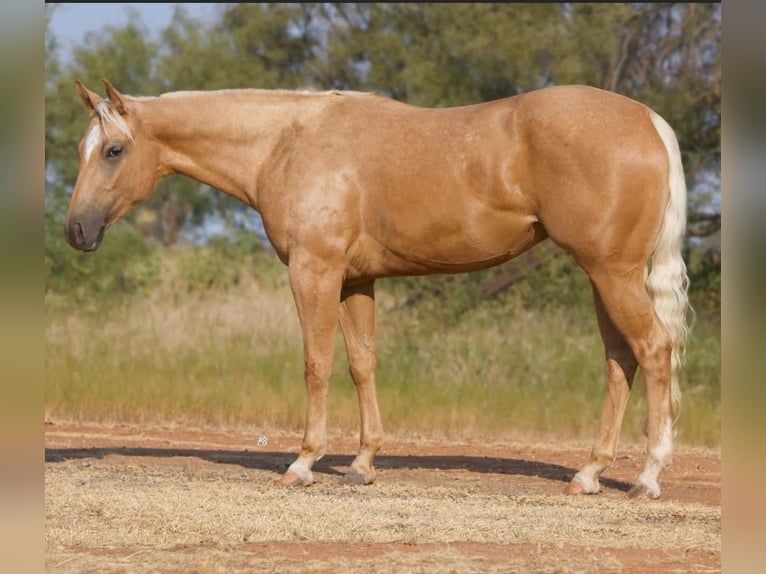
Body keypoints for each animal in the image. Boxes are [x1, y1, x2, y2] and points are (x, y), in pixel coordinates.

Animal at [66, 80, 692, 500]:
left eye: (113, 150)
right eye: (81, 148)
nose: (76, 230)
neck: (287, 141)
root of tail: (649, 121)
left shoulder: (314, 272)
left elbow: (316, 364)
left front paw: (303, 462)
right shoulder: (356, 281)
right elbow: (361, 363)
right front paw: (363, 462)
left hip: (610, 273)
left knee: (653, 351)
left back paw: (647, 476)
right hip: (603, 275)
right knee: (620, 361)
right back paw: (589, 473)